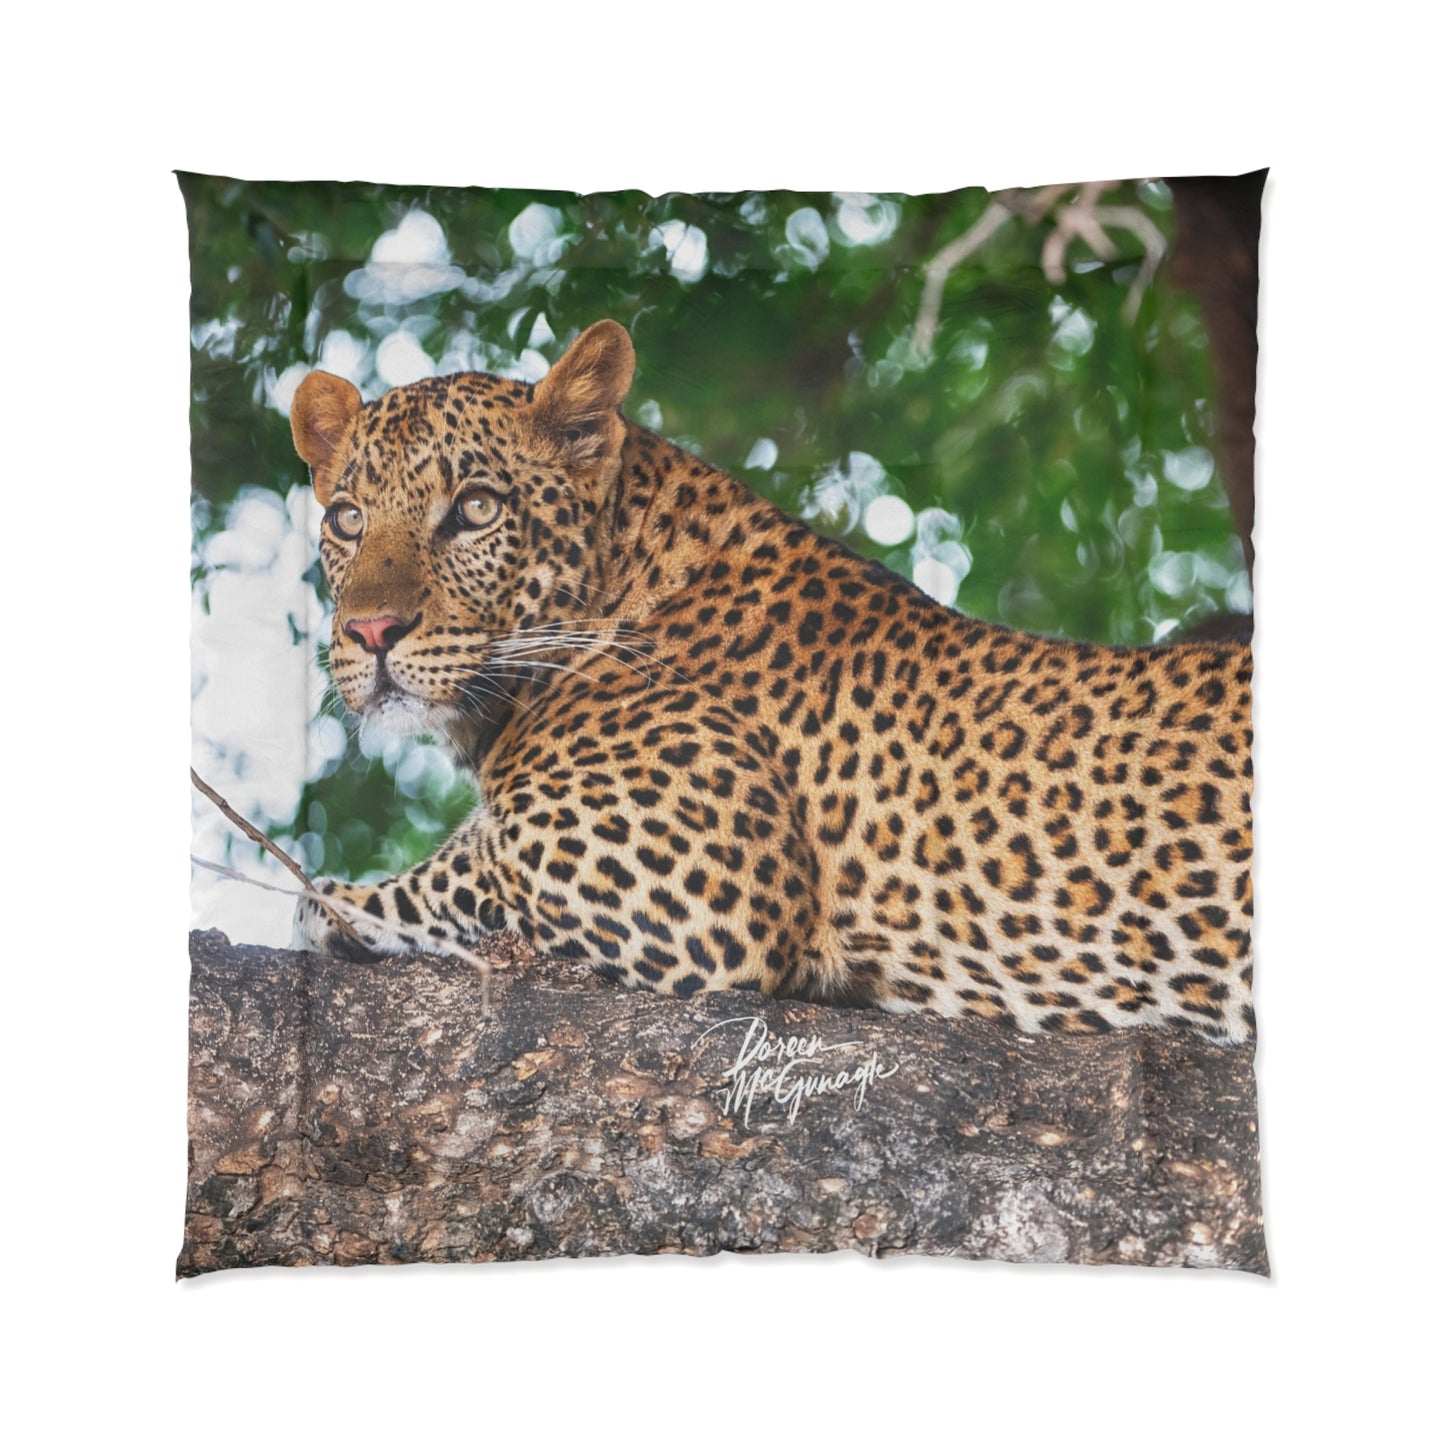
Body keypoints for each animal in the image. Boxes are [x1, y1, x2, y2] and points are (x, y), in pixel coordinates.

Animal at [289, 319, 1255, 1042]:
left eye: (476, 509)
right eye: (348, 519)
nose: (370, 632)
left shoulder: (682, 879)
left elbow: (446, 874)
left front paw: (335, 904)